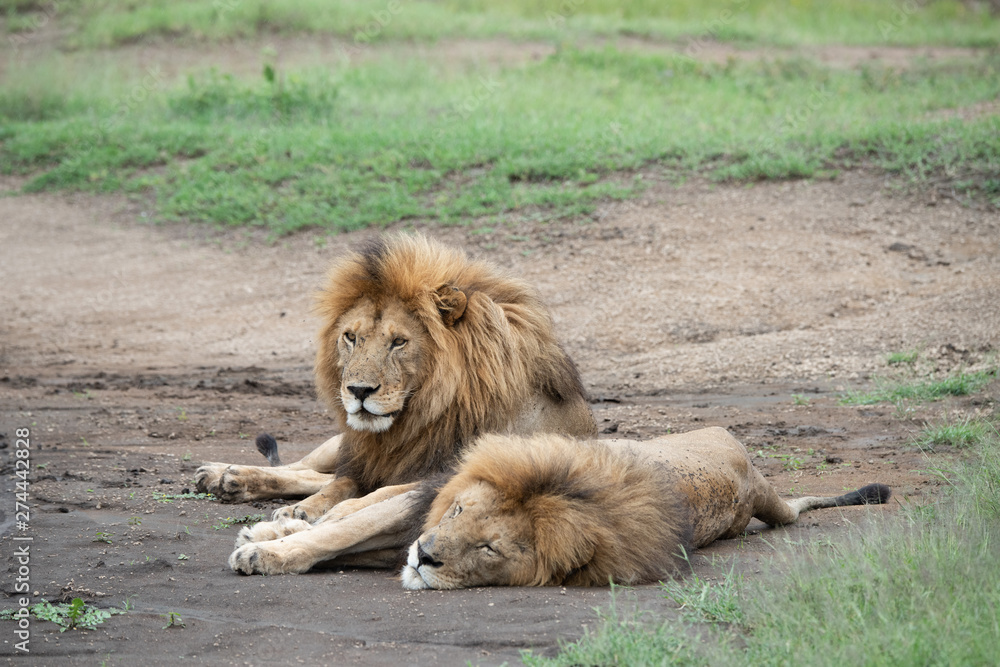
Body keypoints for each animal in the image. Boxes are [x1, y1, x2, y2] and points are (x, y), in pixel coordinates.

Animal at [195, 234, 597, 522]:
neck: (418, 419)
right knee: (304, 467)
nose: (358, 391)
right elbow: (336, 484)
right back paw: (223, 473)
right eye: (351, 337)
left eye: (399, 342)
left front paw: (330, 513)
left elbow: (375, 492)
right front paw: (303, 509)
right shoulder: (363, 461)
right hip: (342, 443)